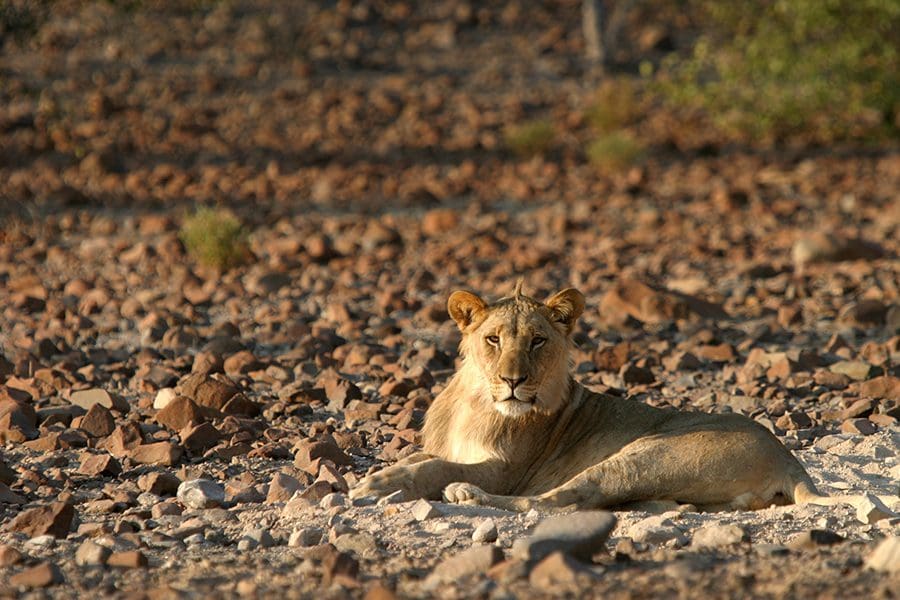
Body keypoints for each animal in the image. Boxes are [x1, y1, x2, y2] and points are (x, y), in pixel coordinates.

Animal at [352, 284, 892, 516]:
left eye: (538, 341)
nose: (513, 380)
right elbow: (421, 458)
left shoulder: (506, 469)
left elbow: (436, 468)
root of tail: (791, 460)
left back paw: (468, 496)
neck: (477, 401)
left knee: (558, 500)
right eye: (493, 339)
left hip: (646, 454)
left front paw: (376, 485)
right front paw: (383, 473)